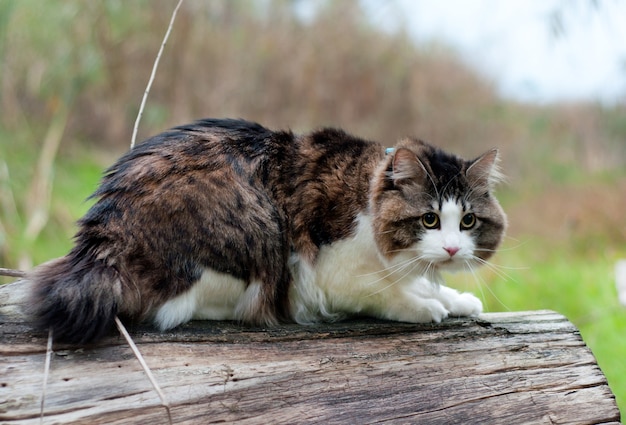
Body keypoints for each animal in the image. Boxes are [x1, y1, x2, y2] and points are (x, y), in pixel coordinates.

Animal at [28, 117, 508, 342]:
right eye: (430, 219)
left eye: (467, 222)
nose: (451, 250)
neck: (367, 194)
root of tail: (104, 238)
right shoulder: (325, 275)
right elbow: (383, 294)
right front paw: (425, 305)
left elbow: (423, 283)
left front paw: (454, 298)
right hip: (257, 233)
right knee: (177, 308)